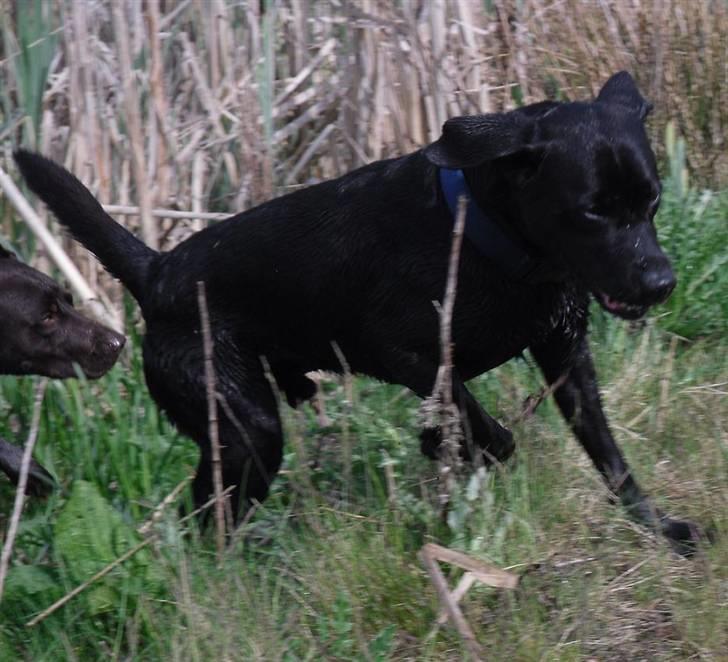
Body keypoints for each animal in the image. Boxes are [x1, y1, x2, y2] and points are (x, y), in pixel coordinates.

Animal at [14, 71, 704, 548]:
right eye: (591, 211)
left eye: (651, 201)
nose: (660, 281)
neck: (489, 240)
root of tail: (157, 273)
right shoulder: (404, 352)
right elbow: (483, 423)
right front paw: (456, 448)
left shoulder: (567, 358)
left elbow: (610, 457)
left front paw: (660, 530)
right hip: (245, 427)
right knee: (206, 514)